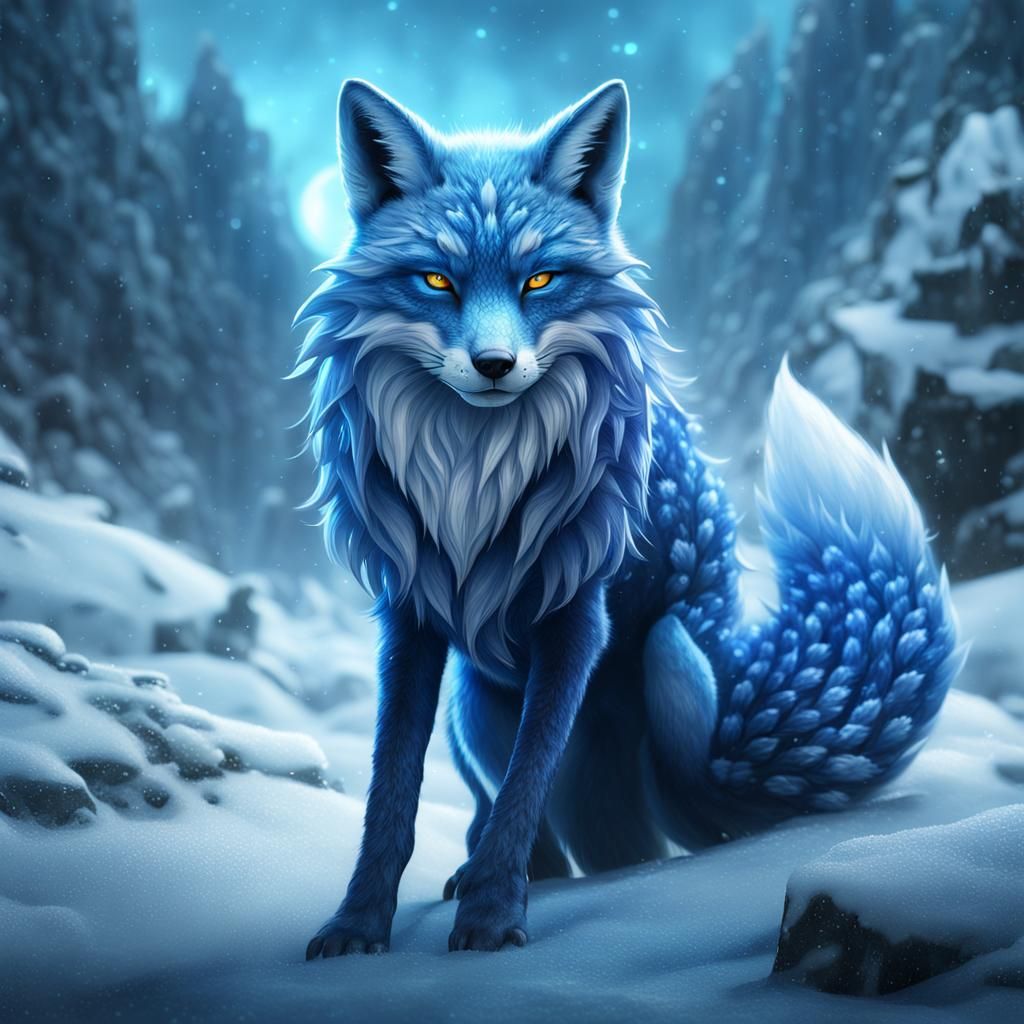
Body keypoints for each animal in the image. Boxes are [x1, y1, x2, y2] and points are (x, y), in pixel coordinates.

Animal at [295, 79, 961, 957]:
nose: (495, 366)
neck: (477, 479)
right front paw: (358, 923)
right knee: (544, 828)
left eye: (540, 281)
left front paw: (493, 919)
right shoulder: (409, 617)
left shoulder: (578, 617)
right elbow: (391, 792)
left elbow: (523, 788)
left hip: (666, 659)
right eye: (436, 282)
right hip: (475, 706)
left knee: (621, 839)